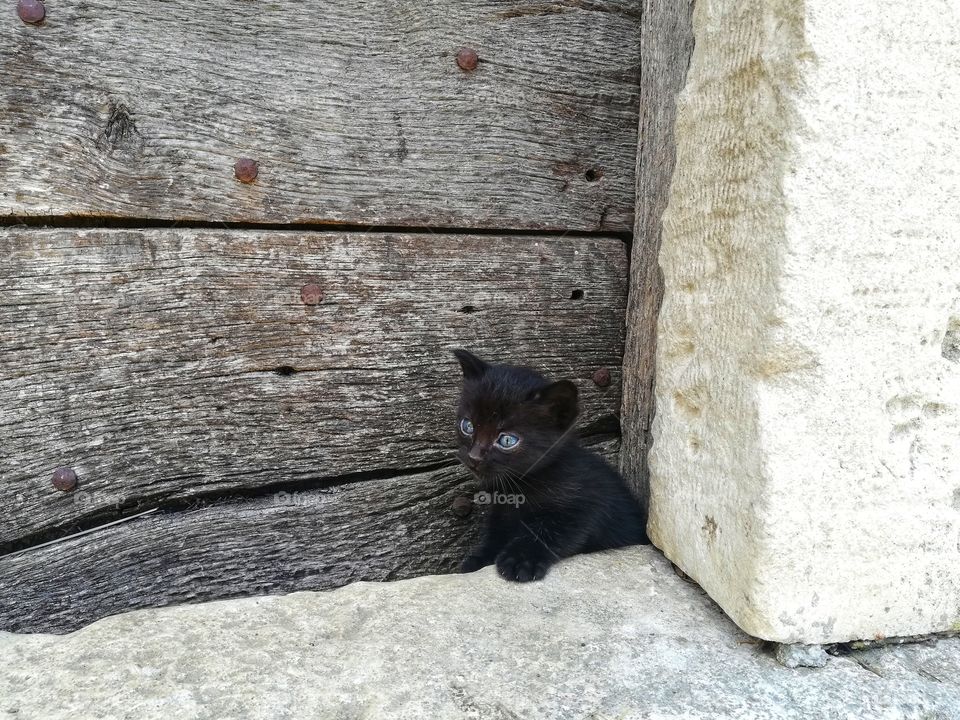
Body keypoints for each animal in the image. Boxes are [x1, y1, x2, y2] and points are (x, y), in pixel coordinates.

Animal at [452, 350, 648, 584]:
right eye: (467, 426)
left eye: (507, 440)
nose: (473, 457)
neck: (523, 486)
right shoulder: (501, 513)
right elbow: (495, 534)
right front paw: (478, 560)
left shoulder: (584, 507)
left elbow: (546, 531)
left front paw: (520, 561)